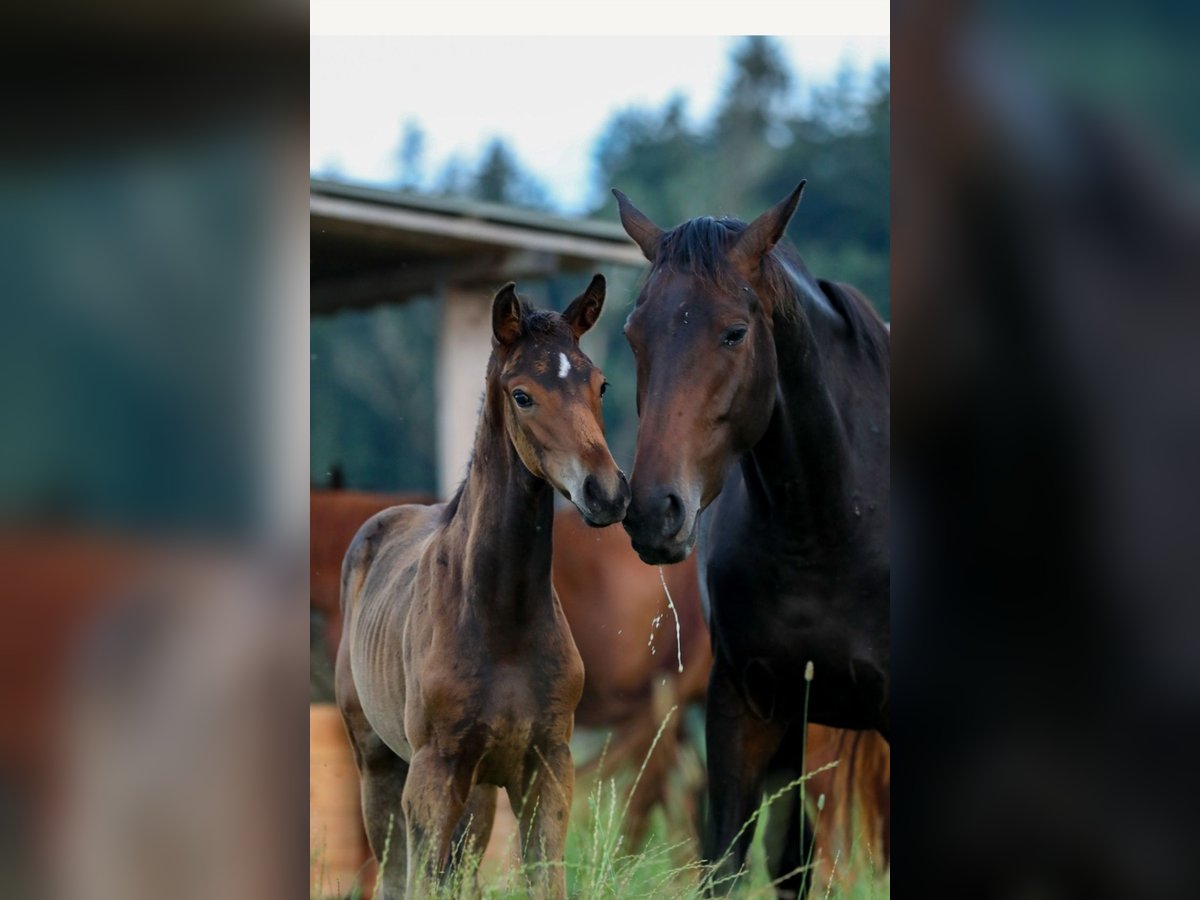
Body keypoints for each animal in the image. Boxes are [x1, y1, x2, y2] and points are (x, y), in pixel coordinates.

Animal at [331, 278, 624, 897]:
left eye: (600, 384)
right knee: (396, 875)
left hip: (481, 791)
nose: (607, 492)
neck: (502, 617)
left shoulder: (548, 766)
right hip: (379, 766)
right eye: (522, 395)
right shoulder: (432, 774)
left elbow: (546, 880)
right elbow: (419, 882)